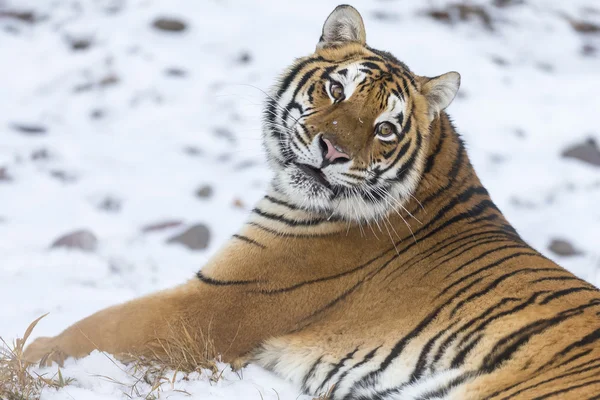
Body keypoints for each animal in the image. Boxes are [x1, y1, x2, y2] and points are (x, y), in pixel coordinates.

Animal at [24, 3, 600, 400]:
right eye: (337, 91)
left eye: (385, 127)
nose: (333, 151)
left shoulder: (212, 303)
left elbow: (95, 328)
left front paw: (27, 355)